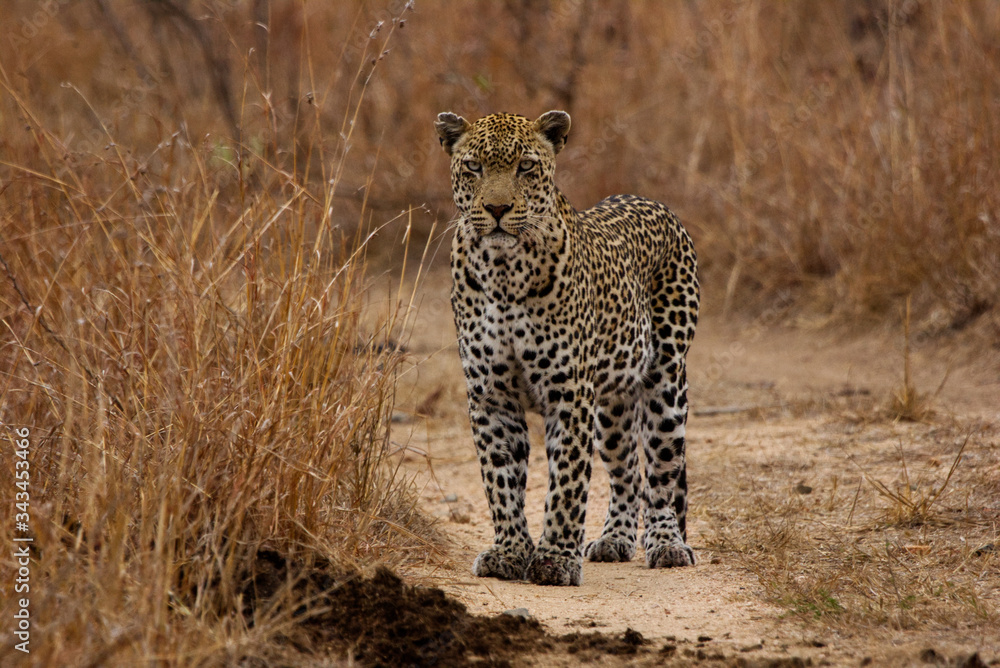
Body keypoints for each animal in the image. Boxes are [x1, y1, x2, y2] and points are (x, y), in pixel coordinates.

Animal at [435, 110, 699, 586]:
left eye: (526, 166)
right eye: (473, 167)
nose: (497, 209)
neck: (504, 271)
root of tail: (654, 202)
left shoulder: (569, 394)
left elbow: (568, 483)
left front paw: (555, 558)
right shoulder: (490, 395)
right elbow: (500, 479)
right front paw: (509, 552)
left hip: (666, 383)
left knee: (661, 474)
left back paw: (666, 544)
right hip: (611, 407)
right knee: (627, 472)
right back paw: (614, 539)